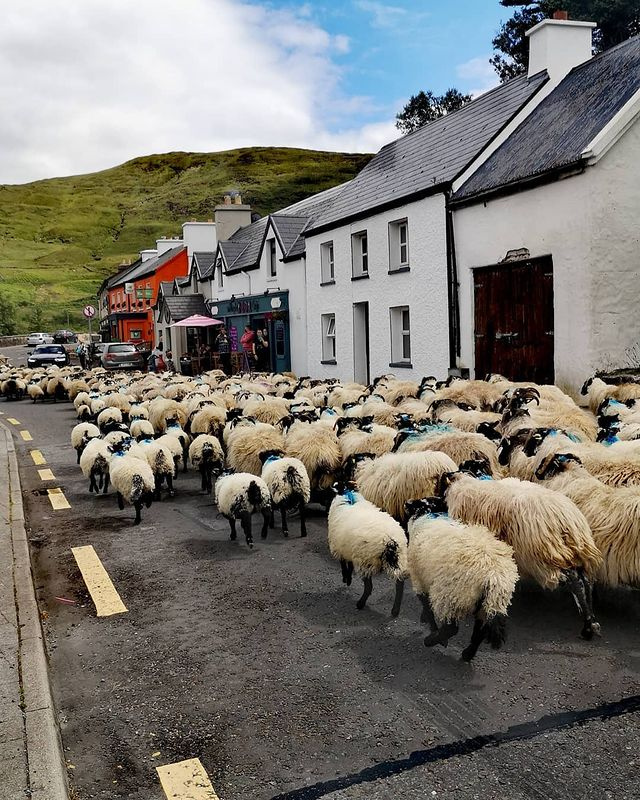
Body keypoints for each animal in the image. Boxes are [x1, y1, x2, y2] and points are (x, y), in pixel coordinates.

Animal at [328, 482, 408, 620]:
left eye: (337, 485)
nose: (330, 486)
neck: (348, 496)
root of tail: (389, 540)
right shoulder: (348, 548)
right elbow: (349, 565)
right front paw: (349, 579)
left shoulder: (339, 548)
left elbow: (344, 565)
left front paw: (346, 579)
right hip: (399, 559)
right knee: (399, 583)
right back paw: (395, 611)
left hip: (366, 561)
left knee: (369, 587)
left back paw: (360, 604)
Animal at [404, 500, 520, 664]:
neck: (429, 514)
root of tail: (494, 575)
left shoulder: (419, 579)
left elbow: (427, 607)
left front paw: (430, 627)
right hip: (487, 605)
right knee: (480, 632)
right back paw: (467, 654)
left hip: (452, 595)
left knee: (452, 628)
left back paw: (433, 640)